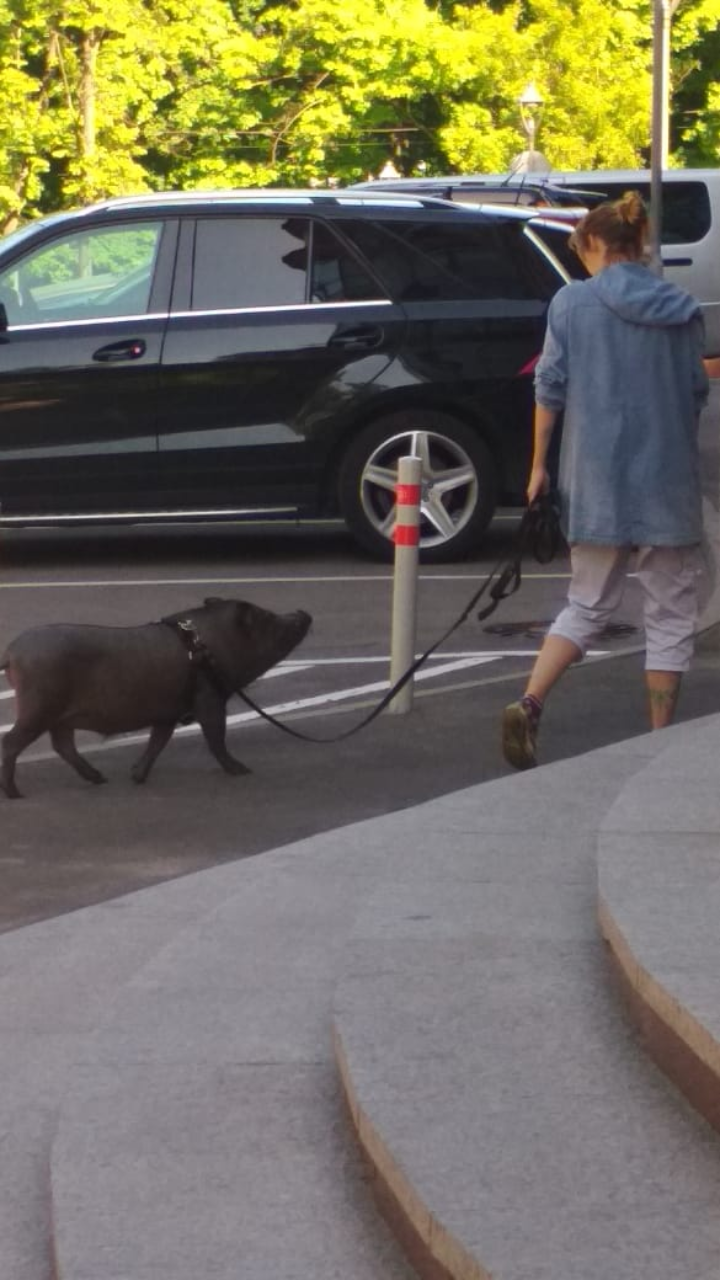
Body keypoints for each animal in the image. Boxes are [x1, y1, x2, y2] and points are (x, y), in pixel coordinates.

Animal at [0, 593, 308, 793]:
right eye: (267, 617)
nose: (303, 613)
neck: (212, 647)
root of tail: (11, 652)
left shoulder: (168, 711)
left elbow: (158, 741)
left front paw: (137, 776)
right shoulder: (209, 699)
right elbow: (215, 738)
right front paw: (243, 771)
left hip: (58, 715)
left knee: (62, 745)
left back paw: (100, 779)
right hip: (39, 705)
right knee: (12, 742)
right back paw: (15, 793)